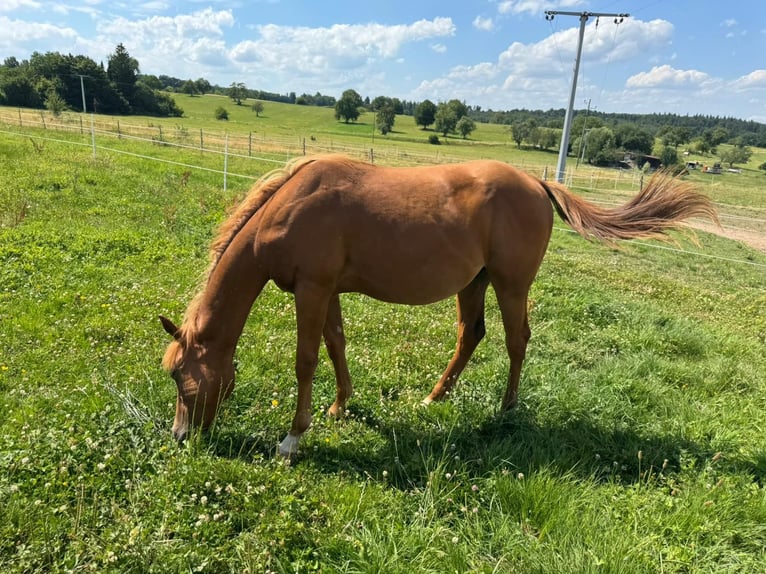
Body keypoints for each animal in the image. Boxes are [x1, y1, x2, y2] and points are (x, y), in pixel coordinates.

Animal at [160, 155, 717, 457]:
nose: (180, 436)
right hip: (473, 283)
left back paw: (506, 408)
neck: (289, 208)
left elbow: (306, 360)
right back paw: (434, 397)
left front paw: (293, 440)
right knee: (472, 335)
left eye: (180, 377)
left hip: (511, 285)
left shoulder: (313, 289)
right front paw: (340, 407)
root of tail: (538, 184)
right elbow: (337, 345)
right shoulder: (328, 290)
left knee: (516, 340)